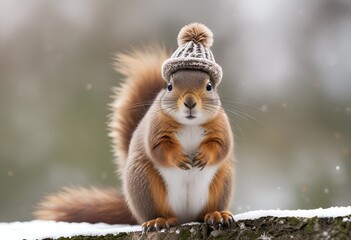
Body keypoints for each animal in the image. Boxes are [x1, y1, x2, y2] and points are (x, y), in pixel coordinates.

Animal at [33, 23, 236, 232]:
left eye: (209, 86)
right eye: (170, 86)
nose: (189, 102)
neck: (190, 124)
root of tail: (185, 217)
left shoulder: (220, 126)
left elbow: (222, 146)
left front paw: (204, 155)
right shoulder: (155, 128)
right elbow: (158, 148)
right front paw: (178, 158)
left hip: (221, 182)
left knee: (204, 212)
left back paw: (216, 214)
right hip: (144, 183)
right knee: (157, 213)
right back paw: (160, 220)